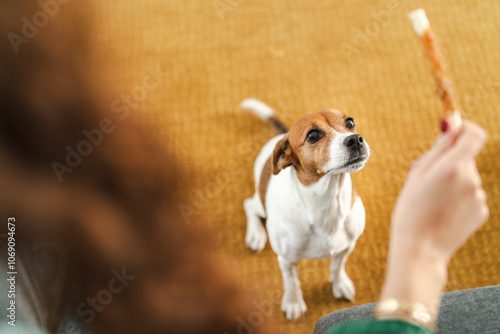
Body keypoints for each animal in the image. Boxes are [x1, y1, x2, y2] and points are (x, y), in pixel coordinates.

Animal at [240, 98, 370, 320]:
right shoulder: (286, 259)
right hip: (260, 204)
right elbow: (292, 282)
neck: (327, 202)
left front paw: (339, 284)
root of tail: (281, 136)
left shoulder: (347, 246)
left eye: (350, 123)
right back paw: (256, 234)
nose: (355, 139)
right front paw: (293, 303)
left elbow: (337, 267)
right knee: (249, 204)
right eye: (313, 135)